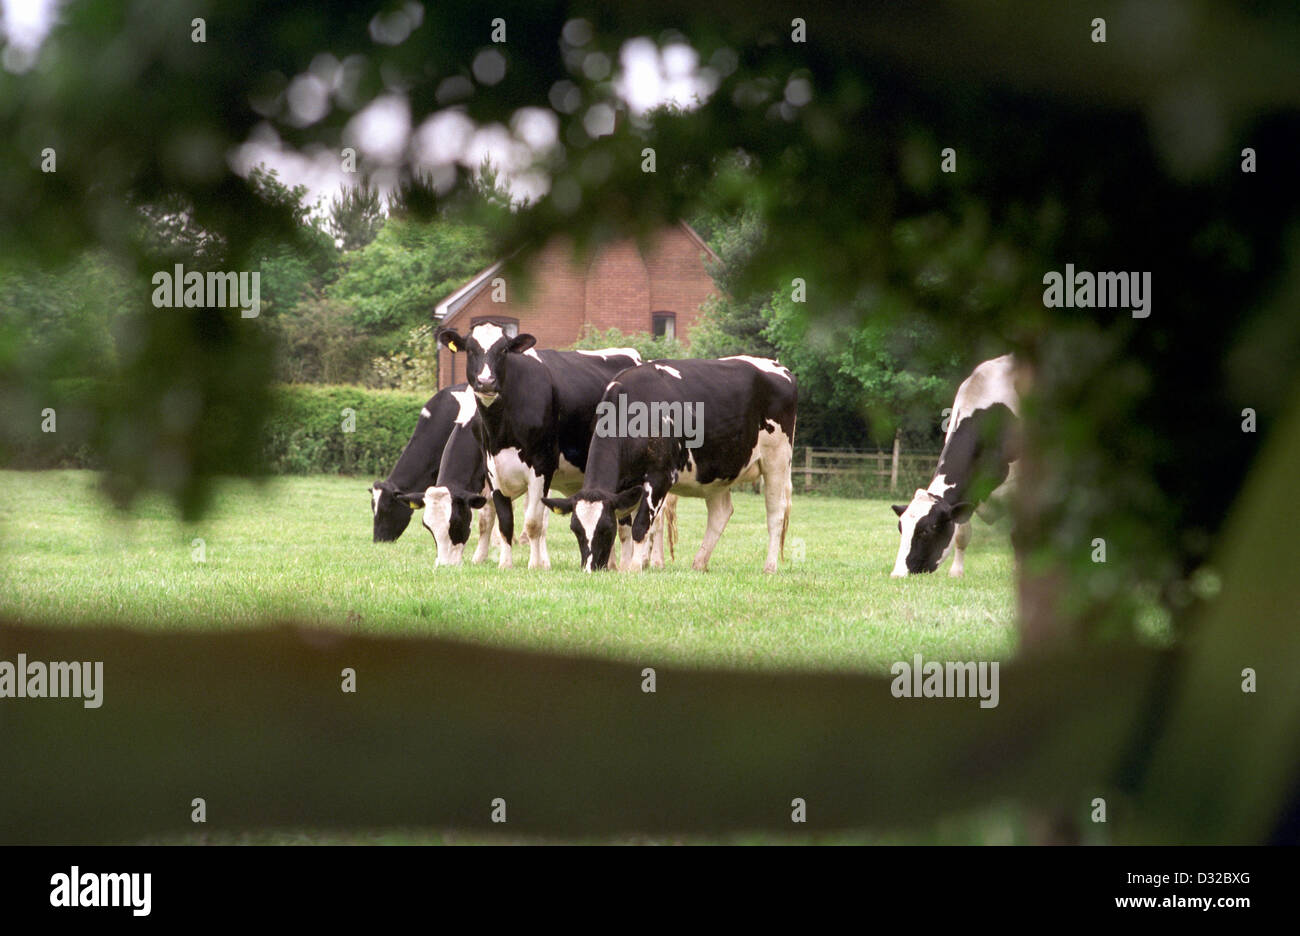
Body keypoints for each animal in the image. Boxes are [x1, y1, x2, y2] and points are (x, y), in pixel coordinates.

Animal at [436, 322, 665, 569]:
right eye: (470, 350)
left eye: (503, 350)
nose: (486, 382)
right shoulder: (493, 469)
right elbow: (503, 521)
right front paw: (505, 564)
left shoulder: (541, 466)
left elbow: (534, 521)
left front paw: (536, 564)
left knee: (644, 522)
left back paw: (645, 562)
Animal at [540, 356, 800, 569]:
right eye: (575, 529)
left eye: (605, 528)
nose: (591, 568)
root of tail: (779, 367)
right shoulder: (624, 488)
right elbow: (626, 528)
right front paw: (625, 566)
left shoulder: (660, 478)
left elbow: (640, 526)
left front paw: (634, 568)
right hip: (718, 473)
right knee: (721, 513)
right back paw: (699, 563)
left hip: (777, 460)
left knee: (776, 513)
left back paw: (769, 566)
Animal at [889, 353, 1019, 577]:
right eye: (901, 528)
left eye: (926, 531)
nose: (898, 574)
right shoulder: (968, 493)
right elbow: (962, 534)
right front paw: (957, 572)